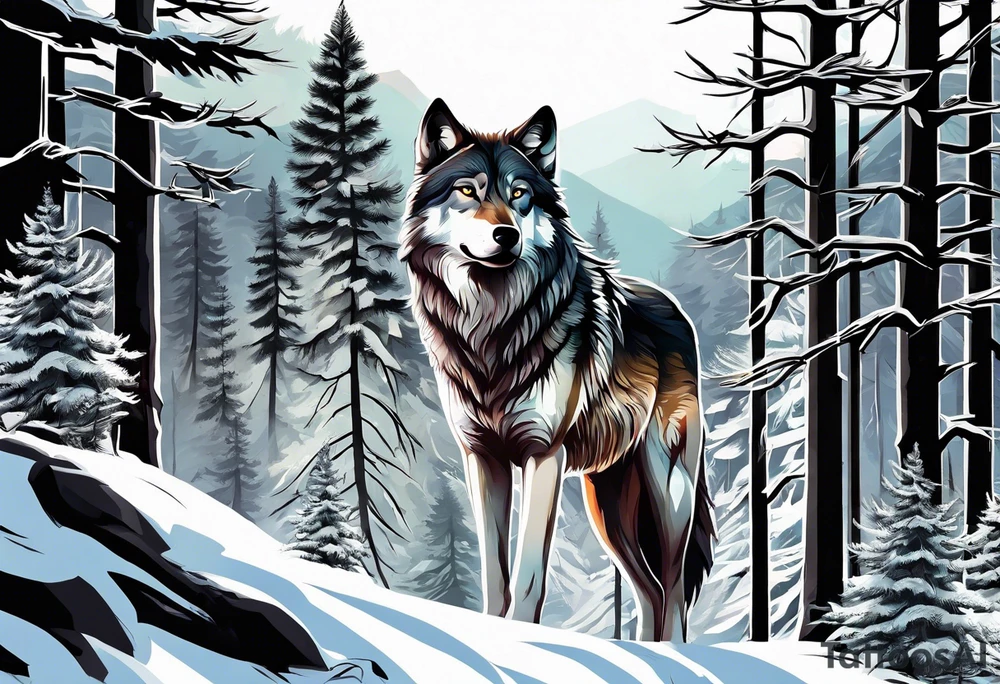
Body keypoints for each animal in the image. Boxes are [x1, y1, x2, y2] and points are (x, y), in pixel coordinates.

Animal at [399, 99, 715, 642]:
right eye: (468, 191)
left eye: (519, 194)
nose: (506, 234)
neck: (492, 327)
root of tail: (678, 312)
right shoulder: (482, 458)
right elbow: (495, 573)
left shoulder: (542, 454)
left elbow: (527, 575)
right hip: (607, 506)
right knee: (650, 592)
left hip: (667, 491)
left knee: (673, 591)